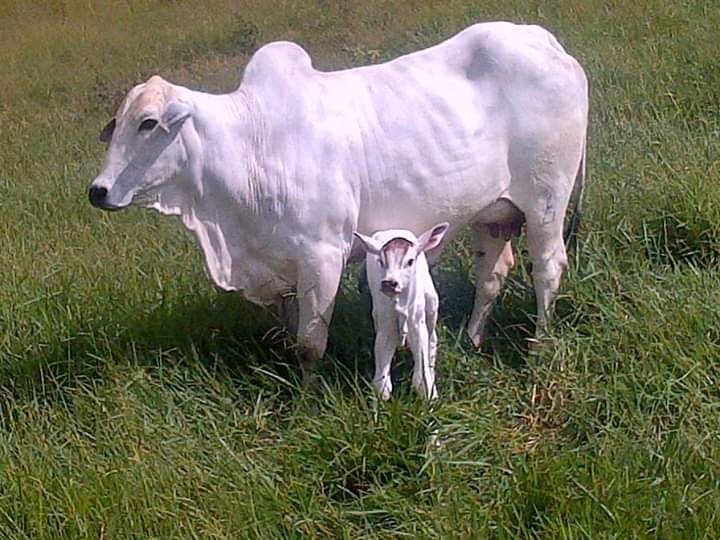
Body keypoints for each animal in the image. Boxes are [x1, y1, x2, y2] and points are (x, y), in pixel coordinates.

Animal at [90, 21, 588, 380]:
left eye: (148, 123)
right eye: (118, 124)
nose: (98, 191)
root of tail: (543, 40)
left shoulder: (322, 255)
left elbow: (310, 345)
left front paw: (306, 397)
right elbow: (291, 335)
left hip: (546, 200)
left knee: (548, 268)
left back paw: (538, 347)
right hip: (495, 212)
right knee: (493, 273)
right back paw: (472, 339)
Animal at [352, 221, 448, 398]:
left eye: (410, 261)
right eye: (381, 261)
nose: (389, 283)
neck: (400, 306)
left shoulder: (417, 322)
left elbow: (422, 379)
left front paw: (431, 394)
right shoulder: (385, 326)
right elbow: (382, 385)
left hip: (432, 303)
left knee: (432, 338)